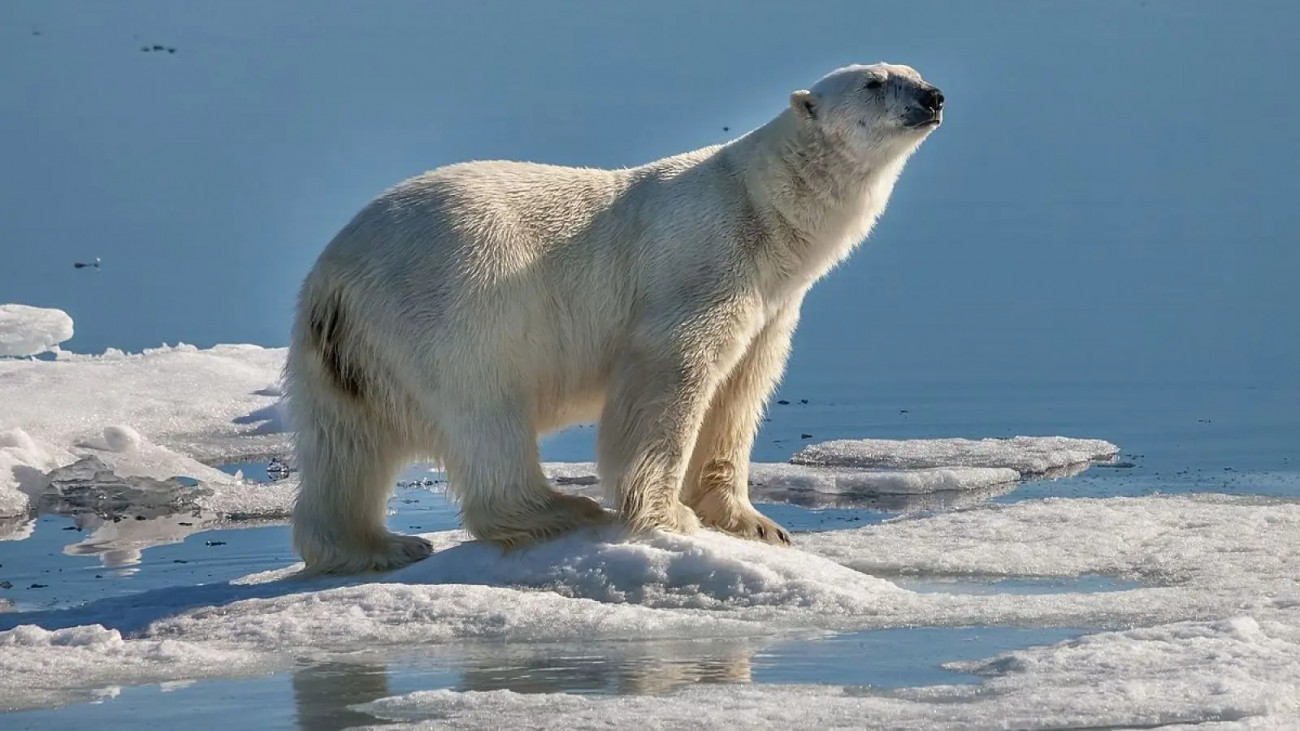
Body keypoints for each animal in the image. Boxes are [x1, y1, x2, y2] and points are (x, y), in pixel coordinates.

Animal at [287, 62, 946, 572]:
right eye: (875, 81)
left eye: (912, 72)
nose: (933, 97)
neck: (762, 213)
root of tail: (333, 278)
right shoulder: (703, 264)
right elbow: (671, 371)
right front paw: (665, 514)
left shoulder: (773, 306)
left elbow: (740, 392)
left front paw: (756, 523)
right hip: (453, 301)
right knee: (485, 409)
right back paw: (558, 508)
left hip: (348, 353)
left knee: (345, 444)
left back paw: (378, 545)